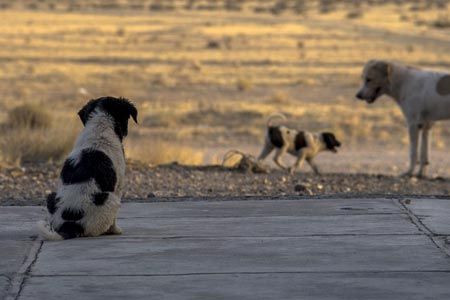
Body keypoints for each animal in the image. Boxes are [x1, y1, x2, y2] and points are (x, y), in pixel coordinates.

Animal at [37, 97, 137, 240]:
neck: (100, 127)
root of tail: (70, 226)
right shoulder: (118, 185)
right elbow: (114, 221)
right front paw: (116, 230)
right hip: (111, 200)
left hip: (51, 197)